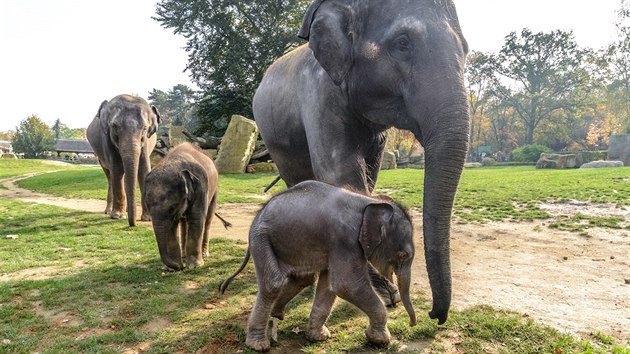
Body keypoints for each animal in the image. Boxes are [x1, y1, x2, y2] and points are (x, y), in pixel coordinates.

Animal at [86, 94, 160, 227]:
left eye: (145, 128)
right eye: (114, 126)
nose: (133, 224)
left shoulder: (145, 142)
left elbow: (144, 170)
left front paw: (148, 218)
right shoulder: (107, 139)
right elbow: (116, 169)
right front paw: (118, 216)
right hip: (100, 158)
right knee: (110, 177)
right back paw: (109, 211)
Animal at [144, 142, 231, 270]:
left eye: (171, 209)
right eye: (148, 208)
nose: (181, 267)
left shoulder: (200, 187)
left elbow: (196, 219)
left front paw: (195, 266)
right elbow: (172, 226)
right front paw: (173, 267)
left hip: (215, 189)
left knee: (208, 219)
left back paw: (204, 254)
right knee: (184, 221)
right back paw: (184, 255)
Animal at [220, 180, 418, 352]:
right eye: (403, 255)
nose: (412, 324)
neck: (370, 202)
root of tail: (258, 214)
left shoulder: (338, 244)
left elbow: (329, 285)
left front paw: (319, 337)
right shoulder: (345, 240)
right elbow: (346, 285)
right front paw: (381, 340)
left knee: (303, 279)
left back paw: (277, 314)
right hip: (261, 238)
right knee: (273, 283)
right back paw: (258, 345)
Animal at [254, 0, 472, 324]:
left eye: (466, 49)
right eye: (403, 43)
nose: (434, 314)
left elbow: (370, 170)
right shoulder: (320, 93)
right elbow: (340, 170)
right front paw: (386, 294)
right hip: (272, 136)